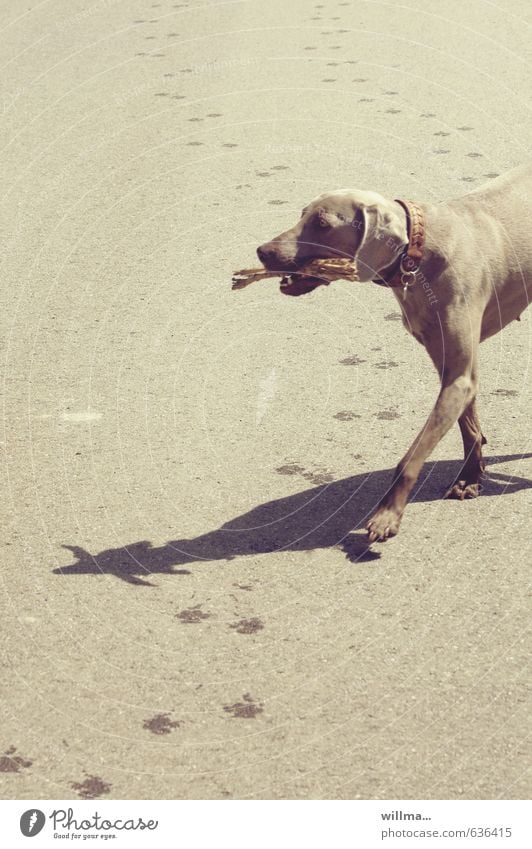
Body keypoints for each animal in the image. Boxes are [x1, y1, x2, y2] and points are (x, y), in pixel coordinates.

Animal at [258, 162, 532, 540]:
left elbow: (410, 459)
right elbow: (469, 425)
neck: (418, 253)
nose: (262, 251)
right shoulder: (451, 368)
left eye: (323, 224)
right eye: (301, 215)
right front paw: (471, 477)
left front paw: (387, 515)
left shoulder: (458, 377)